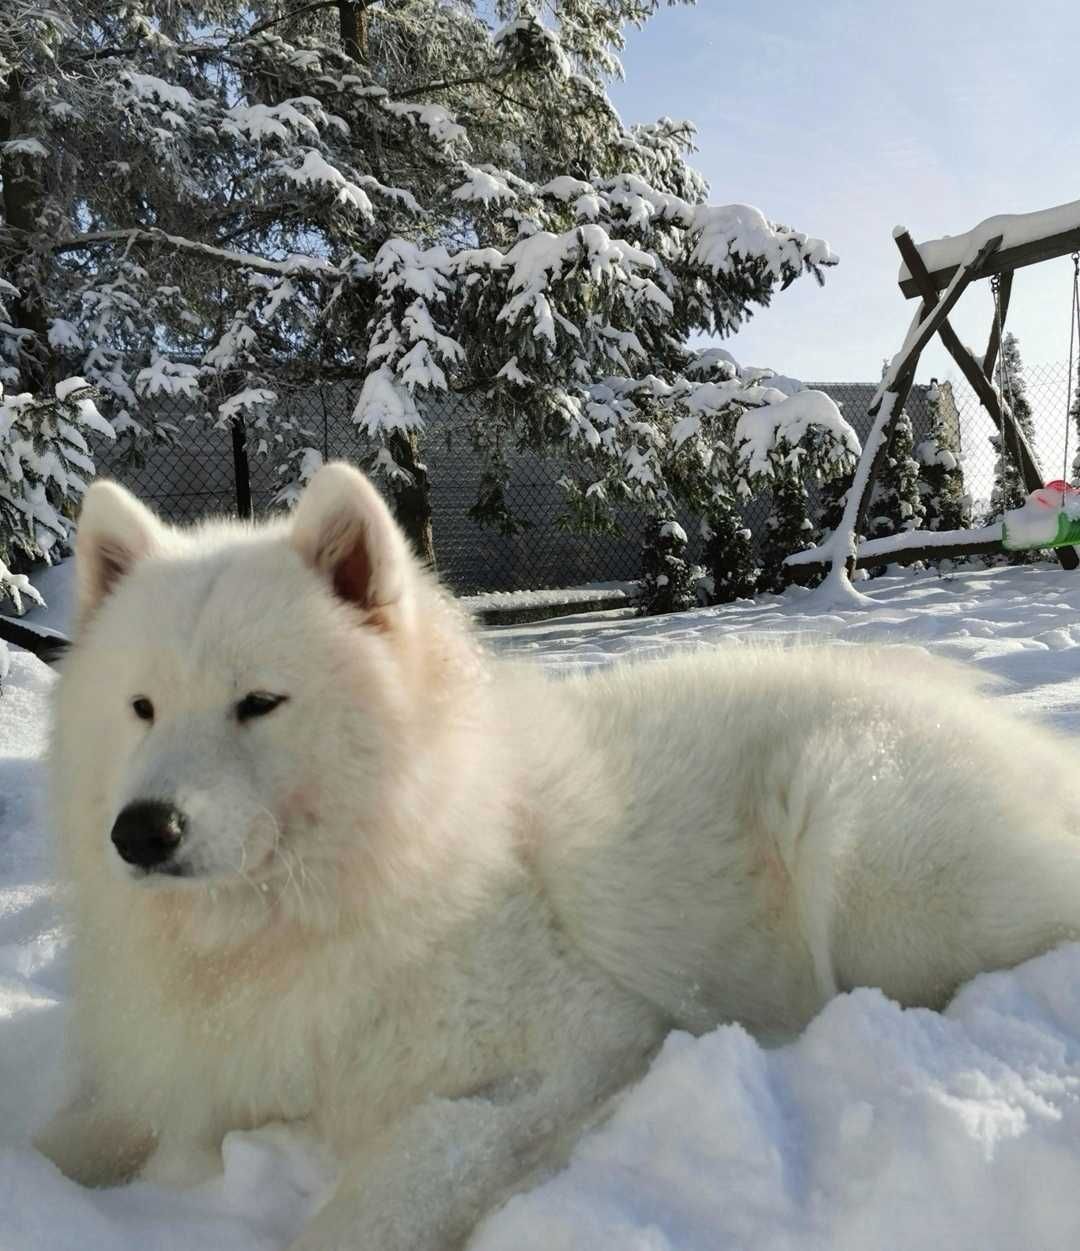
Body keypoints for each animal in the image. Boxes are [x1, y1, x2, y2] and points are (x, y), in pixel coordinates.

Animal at [33, 465, 1080, 1245]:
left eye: (259, 702)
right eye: (141, 707)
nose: (143, 830)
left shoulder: (578, 1043)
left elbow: (402, 1172)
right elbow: (63, 1136)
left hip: (857, 837)